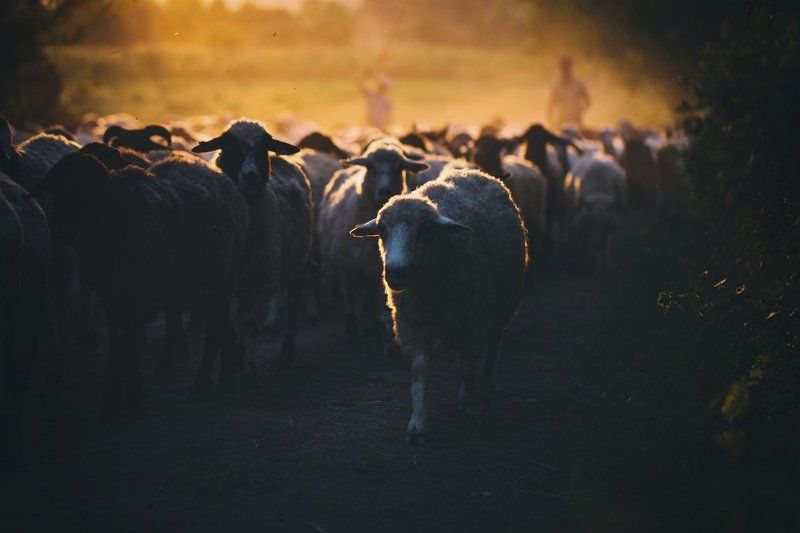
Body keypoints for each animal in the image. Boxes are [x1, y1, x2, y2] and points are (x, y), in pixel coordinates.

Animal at [28, 150, 249, 408]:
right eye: (56, 187)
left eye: (89, 189)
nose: (61, 230)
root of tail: (219, 175)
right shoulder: (111, 297)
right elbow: (117, 345)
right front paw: (114, 394)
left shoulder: (138, 296)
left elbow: (129, 346)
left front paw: (131, 397)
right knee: (219, 327)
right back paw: (224, 377)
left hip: (224, 282)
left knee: (214, 331)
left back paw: (201, 386)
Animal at [192, 119, 313, 372]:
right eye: (229, 146)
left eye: (263, 147)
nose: (250, 176)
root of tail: (282, 160)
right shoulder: (225, 282)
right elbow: (227, 327)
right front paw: (232, 362)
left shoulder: (259, 277)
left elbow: (248, 324)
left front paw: (248, 370)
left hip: (298, 262)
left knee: (293, 304)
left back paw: (287, 353)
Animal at [318, 138, 429, 347]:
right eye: (371, 167)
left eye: (399, 167)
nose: (384, 191)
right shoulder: (354, 271)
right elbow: (360, 305)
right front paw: (366, 334)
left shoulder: (381, 276)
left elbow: (381, 309)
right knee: (349, 297)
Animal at [350, 168, 528, 441]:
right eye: (381, 229)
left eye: (425, 230)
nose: (395, 272)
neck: (427, 285)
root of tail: (473, 171)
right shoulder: (409, 320)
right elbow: (420, 368)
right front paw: (418, 423)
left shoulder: (475, 319)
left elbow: (468, 369)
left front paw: (473, 412)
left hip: (501, 305)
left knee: (491, 350)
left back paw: (484, 392)